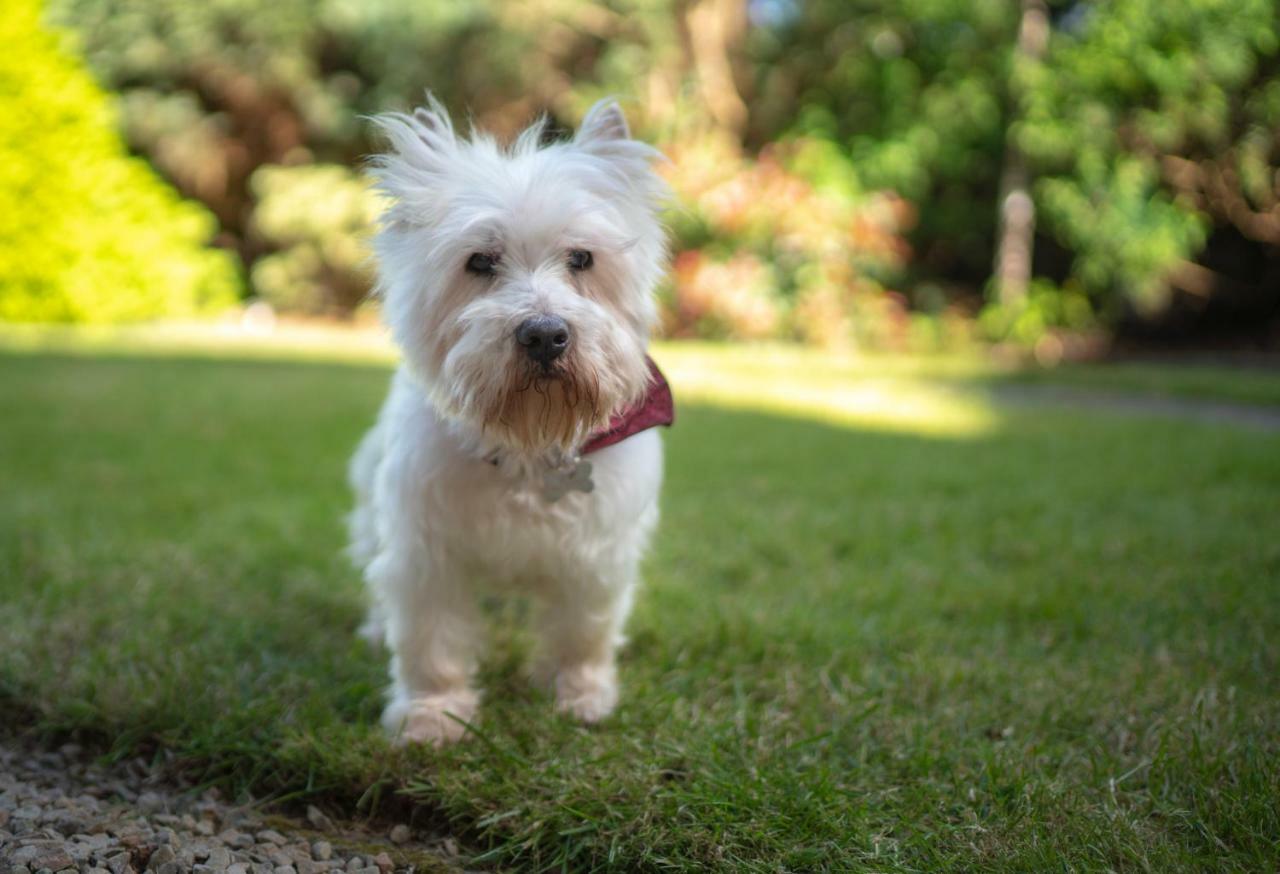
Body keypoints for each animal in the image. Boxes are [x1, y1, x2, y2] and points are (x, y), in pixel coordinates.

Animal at [345, 101, 675, 747]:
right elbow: (432, 640)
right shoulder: (427, 549)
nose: (545, 335)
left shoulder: (597, 554)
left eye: (582, 258)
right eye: (479, 261)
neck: (529, 443)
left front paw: (581, 698)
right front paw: (432, 716)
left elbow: (582, 633)